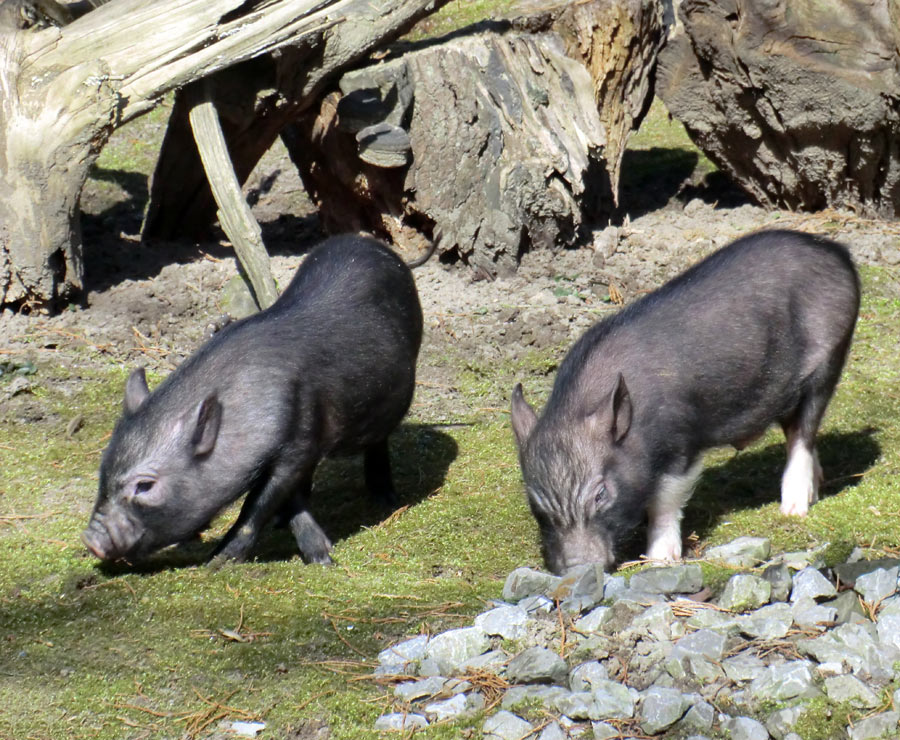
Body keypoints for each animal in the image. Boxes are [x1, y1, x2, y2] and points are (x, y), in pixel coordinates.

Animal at [82, 234, 424, 564]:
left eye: (145, 485)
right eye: (102, 472)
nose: (90, 541)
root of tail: (373, 244)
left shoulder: (299, 437)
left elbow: (257, 503)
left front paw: (218, 560)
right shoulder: (300, 447)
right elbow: (289, 498)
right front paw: (315, 550)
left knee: (378, 442)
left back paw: (384, 500)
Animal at [512, 228, 856, 576]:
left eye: (600, 494)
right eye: (536, 504)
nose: (577, 567)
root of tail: (835, 251)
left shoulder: (681, 442)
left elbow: (664, 502)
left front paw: (659, 559)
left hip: (829, 354)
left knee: (803, 432)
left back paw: (794, 509)